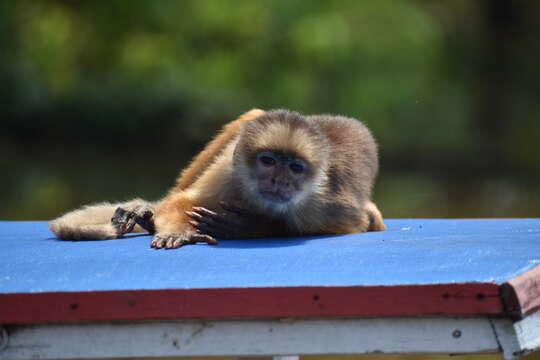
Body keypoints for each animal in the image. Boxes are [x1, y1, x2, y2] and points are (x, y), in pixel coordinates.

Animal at [49, 109, 384, 248]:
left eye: (295, 168)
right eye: (268, 162)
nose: (279, 182)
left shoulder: (324, 208)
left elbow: (356, 224)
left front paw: (250, 227)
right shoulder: (231, 172)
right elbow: (179, 204)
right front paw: (178, 231)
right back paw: (147, 214)